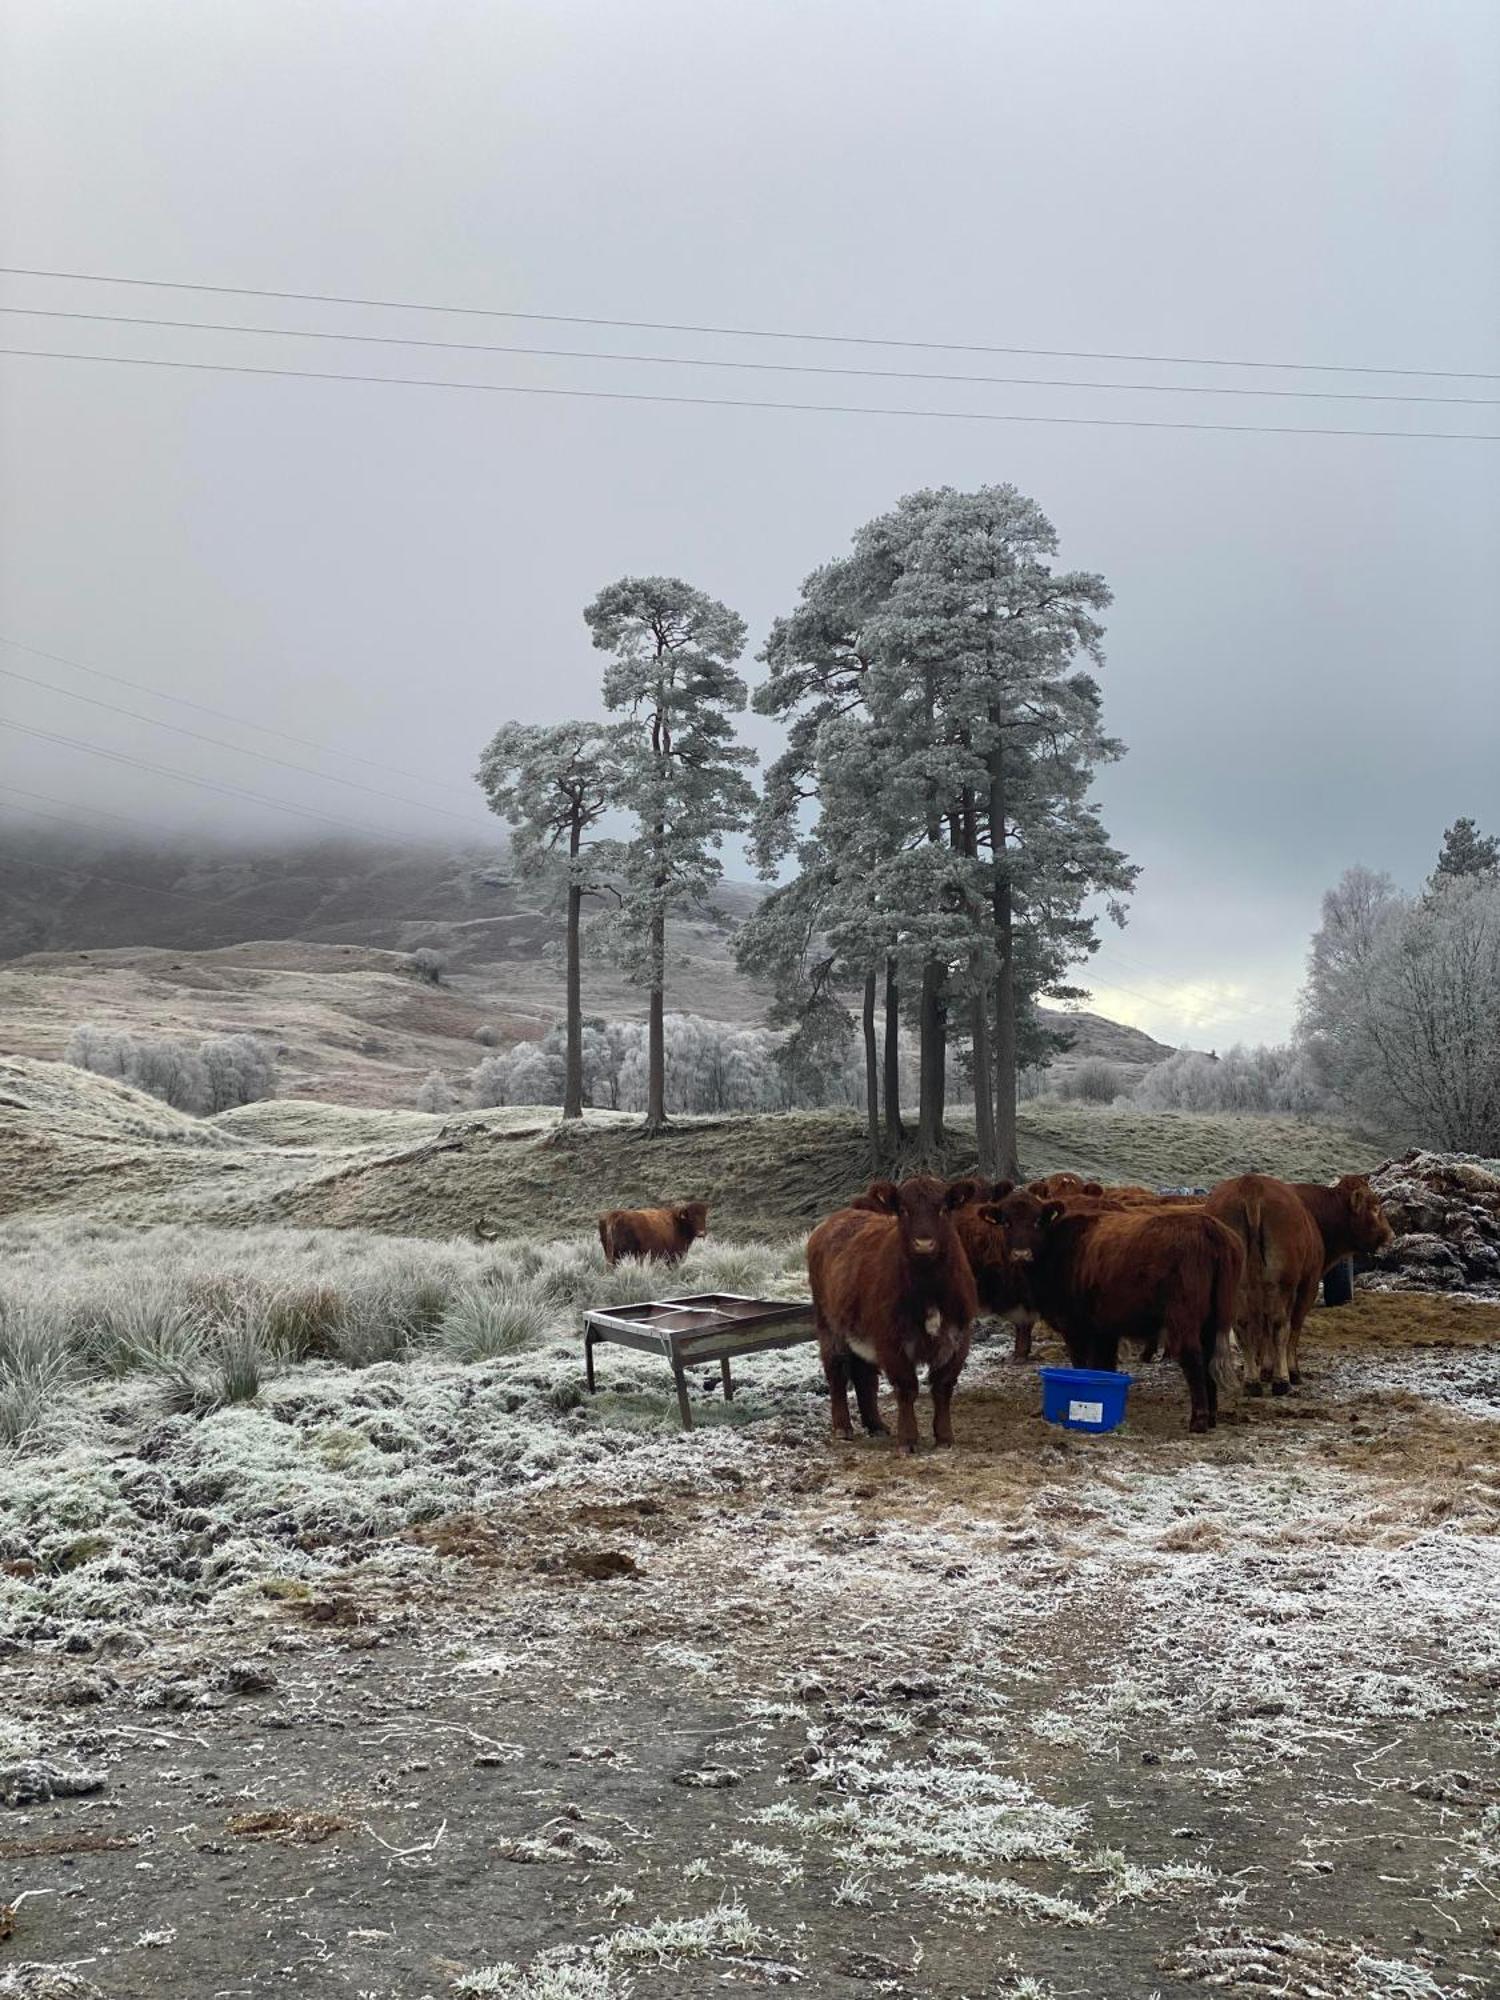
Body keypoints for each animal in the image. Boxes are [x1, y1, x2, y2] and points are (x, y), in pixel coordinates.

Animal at [812, 1168, 988, 1456]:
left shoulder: (958, 1336)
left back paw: (876, 1424)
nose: (924, 1243)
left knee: (864, 1374)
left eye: (943, 1208)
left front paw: (944, 1436)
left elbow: (943, 1386)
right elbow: (906, 1388)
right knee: (836, 1370)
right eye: (904, 1210)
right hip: (829, 1325)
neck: (929, 1289)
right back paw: (843, 1427)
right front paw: (907, 1439)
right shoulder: (891, 1339)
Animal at [1000, 1176, 1248, 1432]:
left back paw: (1198, 1420)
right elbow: (1103, 1367)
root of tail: (1210, 1228)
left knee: (1193, 1357)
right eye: (1006, 1222)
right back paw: (1212, 1416)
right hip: (1213, 1319)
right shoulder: (1104, 1329)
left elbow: (1083, 1364)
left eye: (1037, 1221)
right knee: (1208, 1357)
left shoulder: (1075, 1327)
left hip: (1183, 1319)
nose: (1021, 1254)